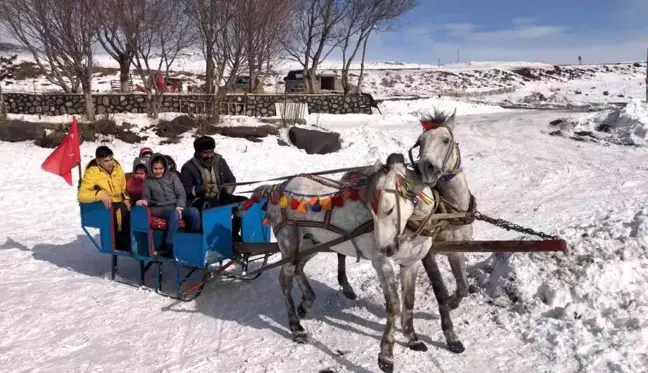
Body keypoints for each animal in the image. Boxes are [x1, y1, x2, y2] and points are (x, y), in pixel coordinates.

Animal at [251, 153, 464, 372]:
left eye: (389, 209)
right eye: (372, 210)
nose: (386, 248)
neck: (414, 225)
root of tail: (279, 187)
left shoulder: (410, 263)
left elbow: (409, 301)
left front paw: (412, 338)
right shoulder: (382, 263)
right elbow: (394, 305)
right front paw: (386, 355)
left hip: (312, 244)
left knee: (298, 269)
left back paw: (307, 302)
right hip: (289, 245)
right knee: (285, 280)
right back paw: (296, 327)